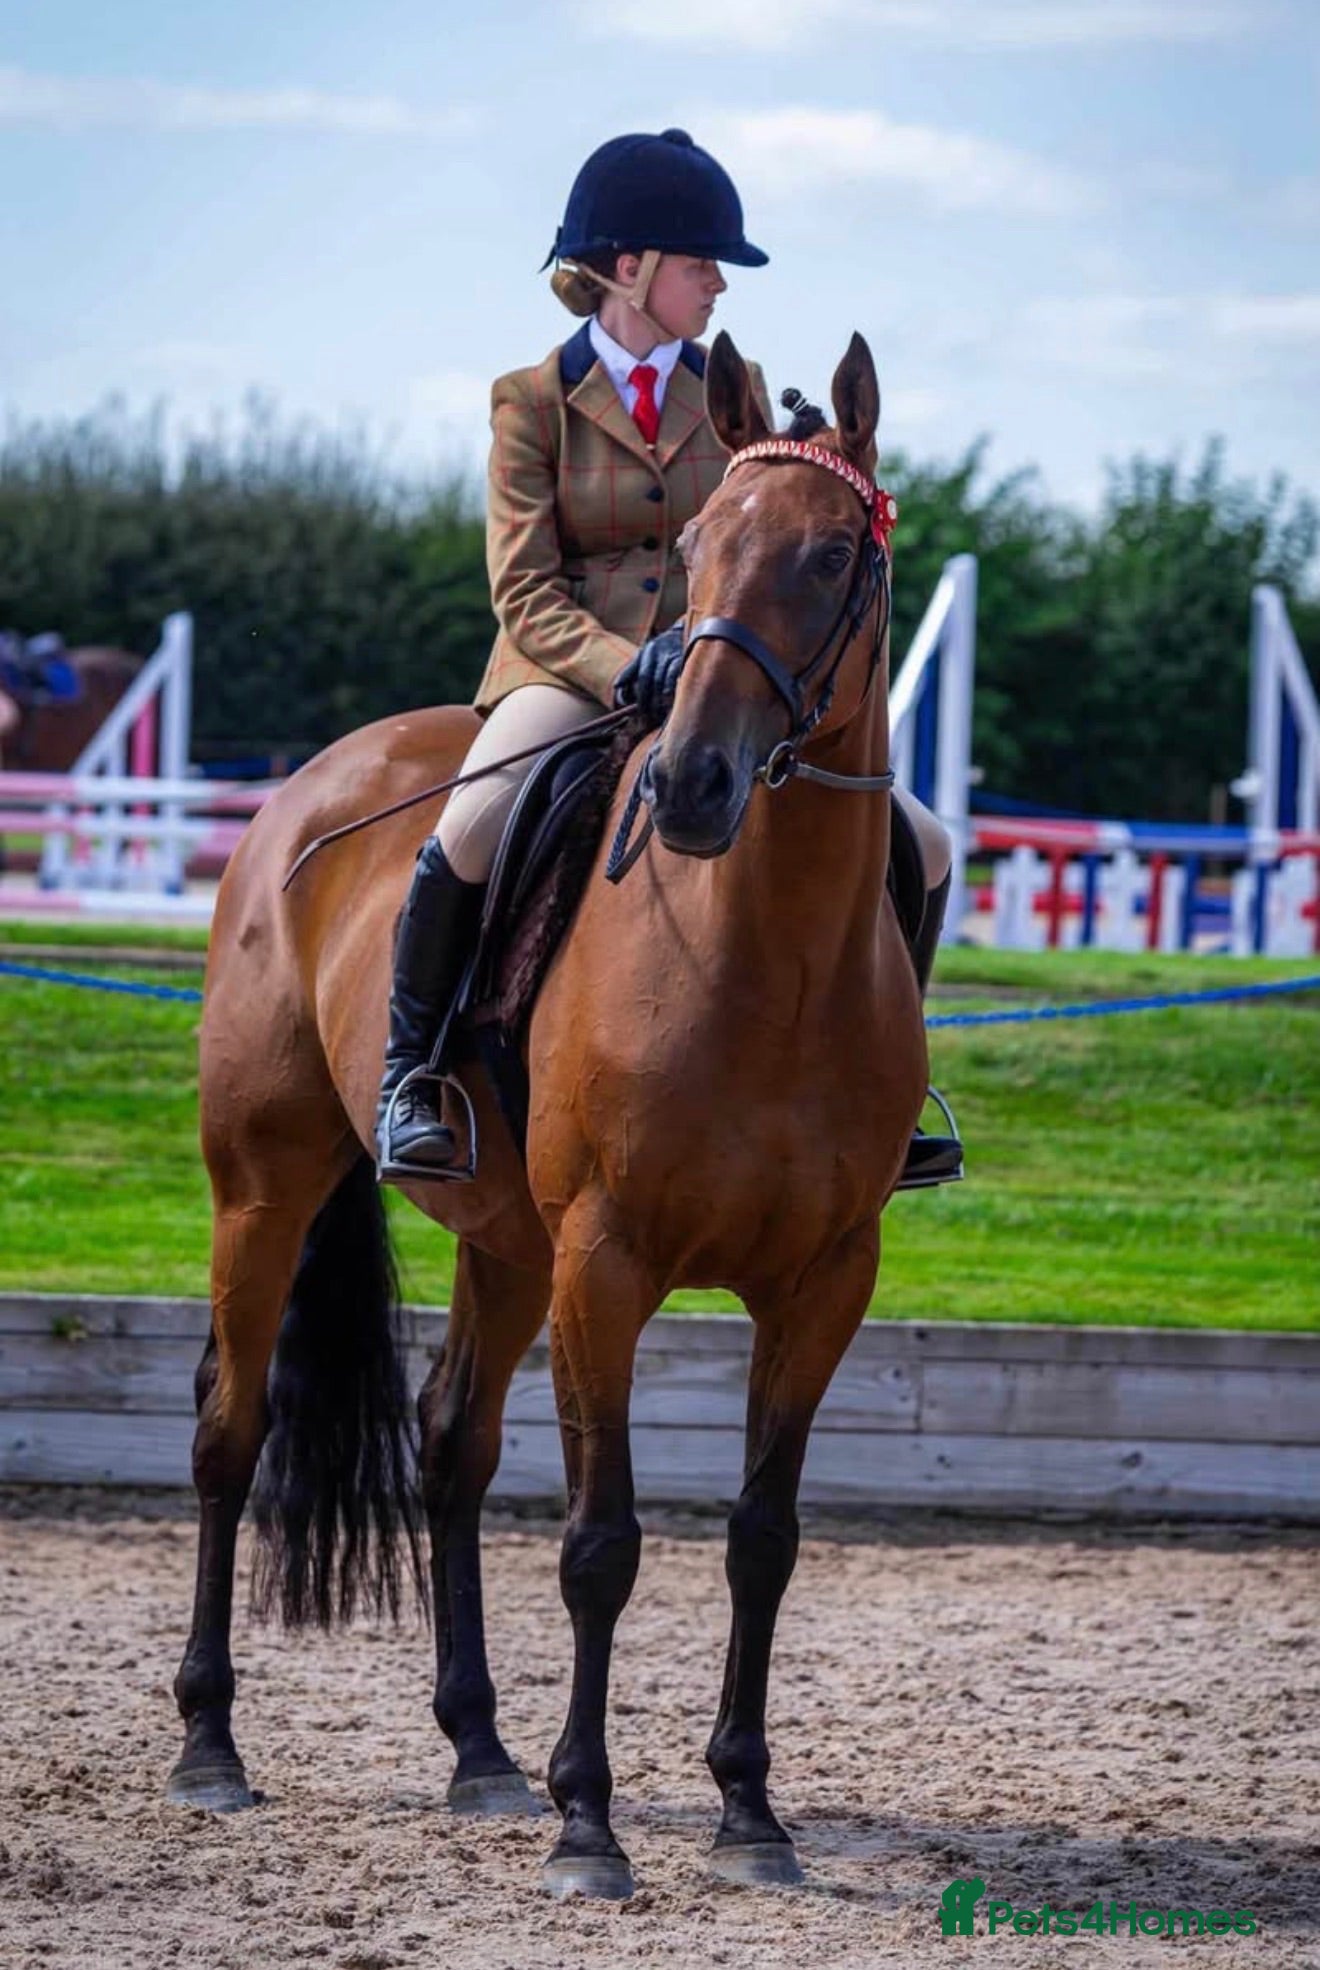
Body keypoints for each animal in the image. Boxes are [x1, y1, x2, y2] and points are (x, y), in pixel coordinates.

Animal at [169, 329, 928, 1901]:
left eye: (833, 555)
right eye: (696, 548)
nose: (695, 781)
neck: (770, 952)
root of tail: (315, 783)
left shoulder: (826, 1278)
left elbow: (762, 1535)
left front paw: (748, 1811)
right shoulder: (609, 1261)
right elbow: (600, 1542)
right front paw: (592, 1823)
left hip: (506, 1241)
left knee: (450, 1442)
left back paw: (479, 1754)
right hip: (266, 1188)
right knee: (229, 1428)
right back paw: (211, 1745)